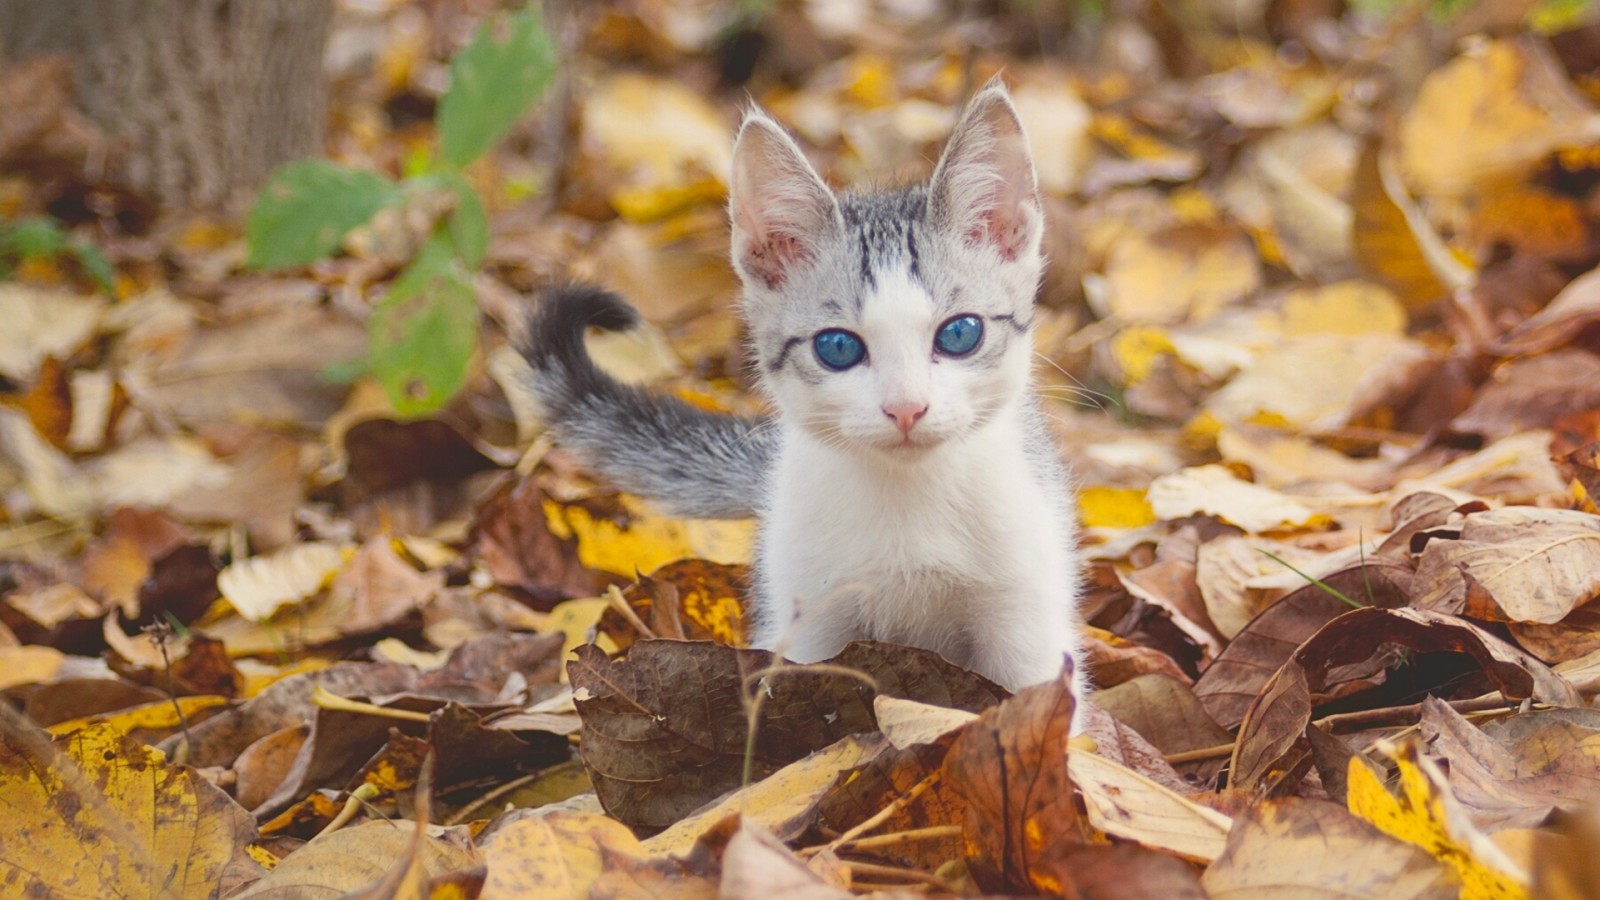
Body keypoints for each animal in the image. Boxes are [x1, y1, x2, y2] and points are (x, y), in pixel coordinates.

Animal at [524, 78, 1088, 695]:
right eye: (837, 347)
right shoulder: (806, 616)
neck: (909, 501)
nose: (907, 408)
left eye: (960, 333)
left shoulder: (1027, 612)